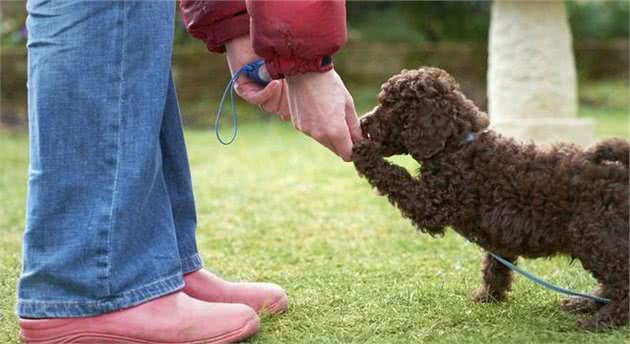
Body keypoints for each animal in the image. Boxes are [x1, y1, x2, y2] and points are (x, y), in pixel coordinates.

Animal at [354, 67, 628, 330]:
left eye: (391, 105)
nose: (362, 122)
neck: (457, 145)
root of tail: (621, 173)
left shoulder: (432, 203)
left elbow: (395, 176)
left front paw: (362, 150)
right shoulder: (500, 235)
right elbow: (494, 266)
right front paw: (488, 296)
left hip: (594, 237)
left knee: (622, 282)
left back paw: (601, 319)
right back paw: (584, 303)